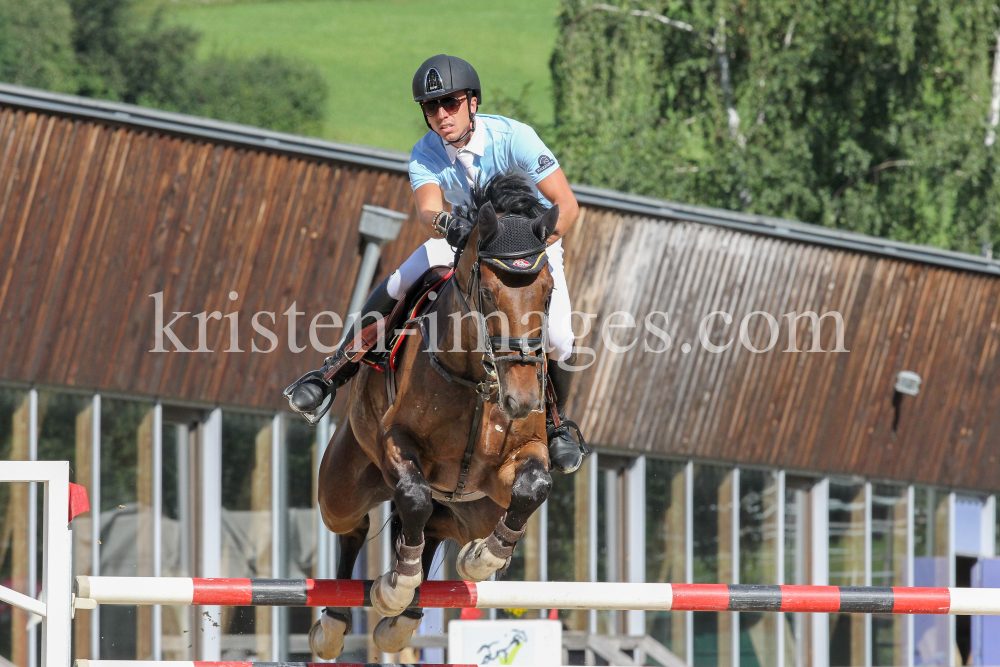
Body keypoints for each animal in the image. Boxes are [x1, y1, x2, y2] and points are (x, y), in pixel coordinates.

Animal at [308, 174, 560, 656]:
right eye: (488, 292)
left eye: (548, 292)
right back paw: (335, 622)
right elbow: (414, 496)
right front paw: (395, 583)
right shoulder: (396, 439)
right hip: (341, 487)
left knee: (438, 528)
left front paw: (483, 559)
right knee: (356, 526)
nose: (521, 399)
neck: (477, 381)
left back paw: (403, 620)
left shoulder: (520, 456)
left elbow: (533, 487)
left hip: (472, 511)